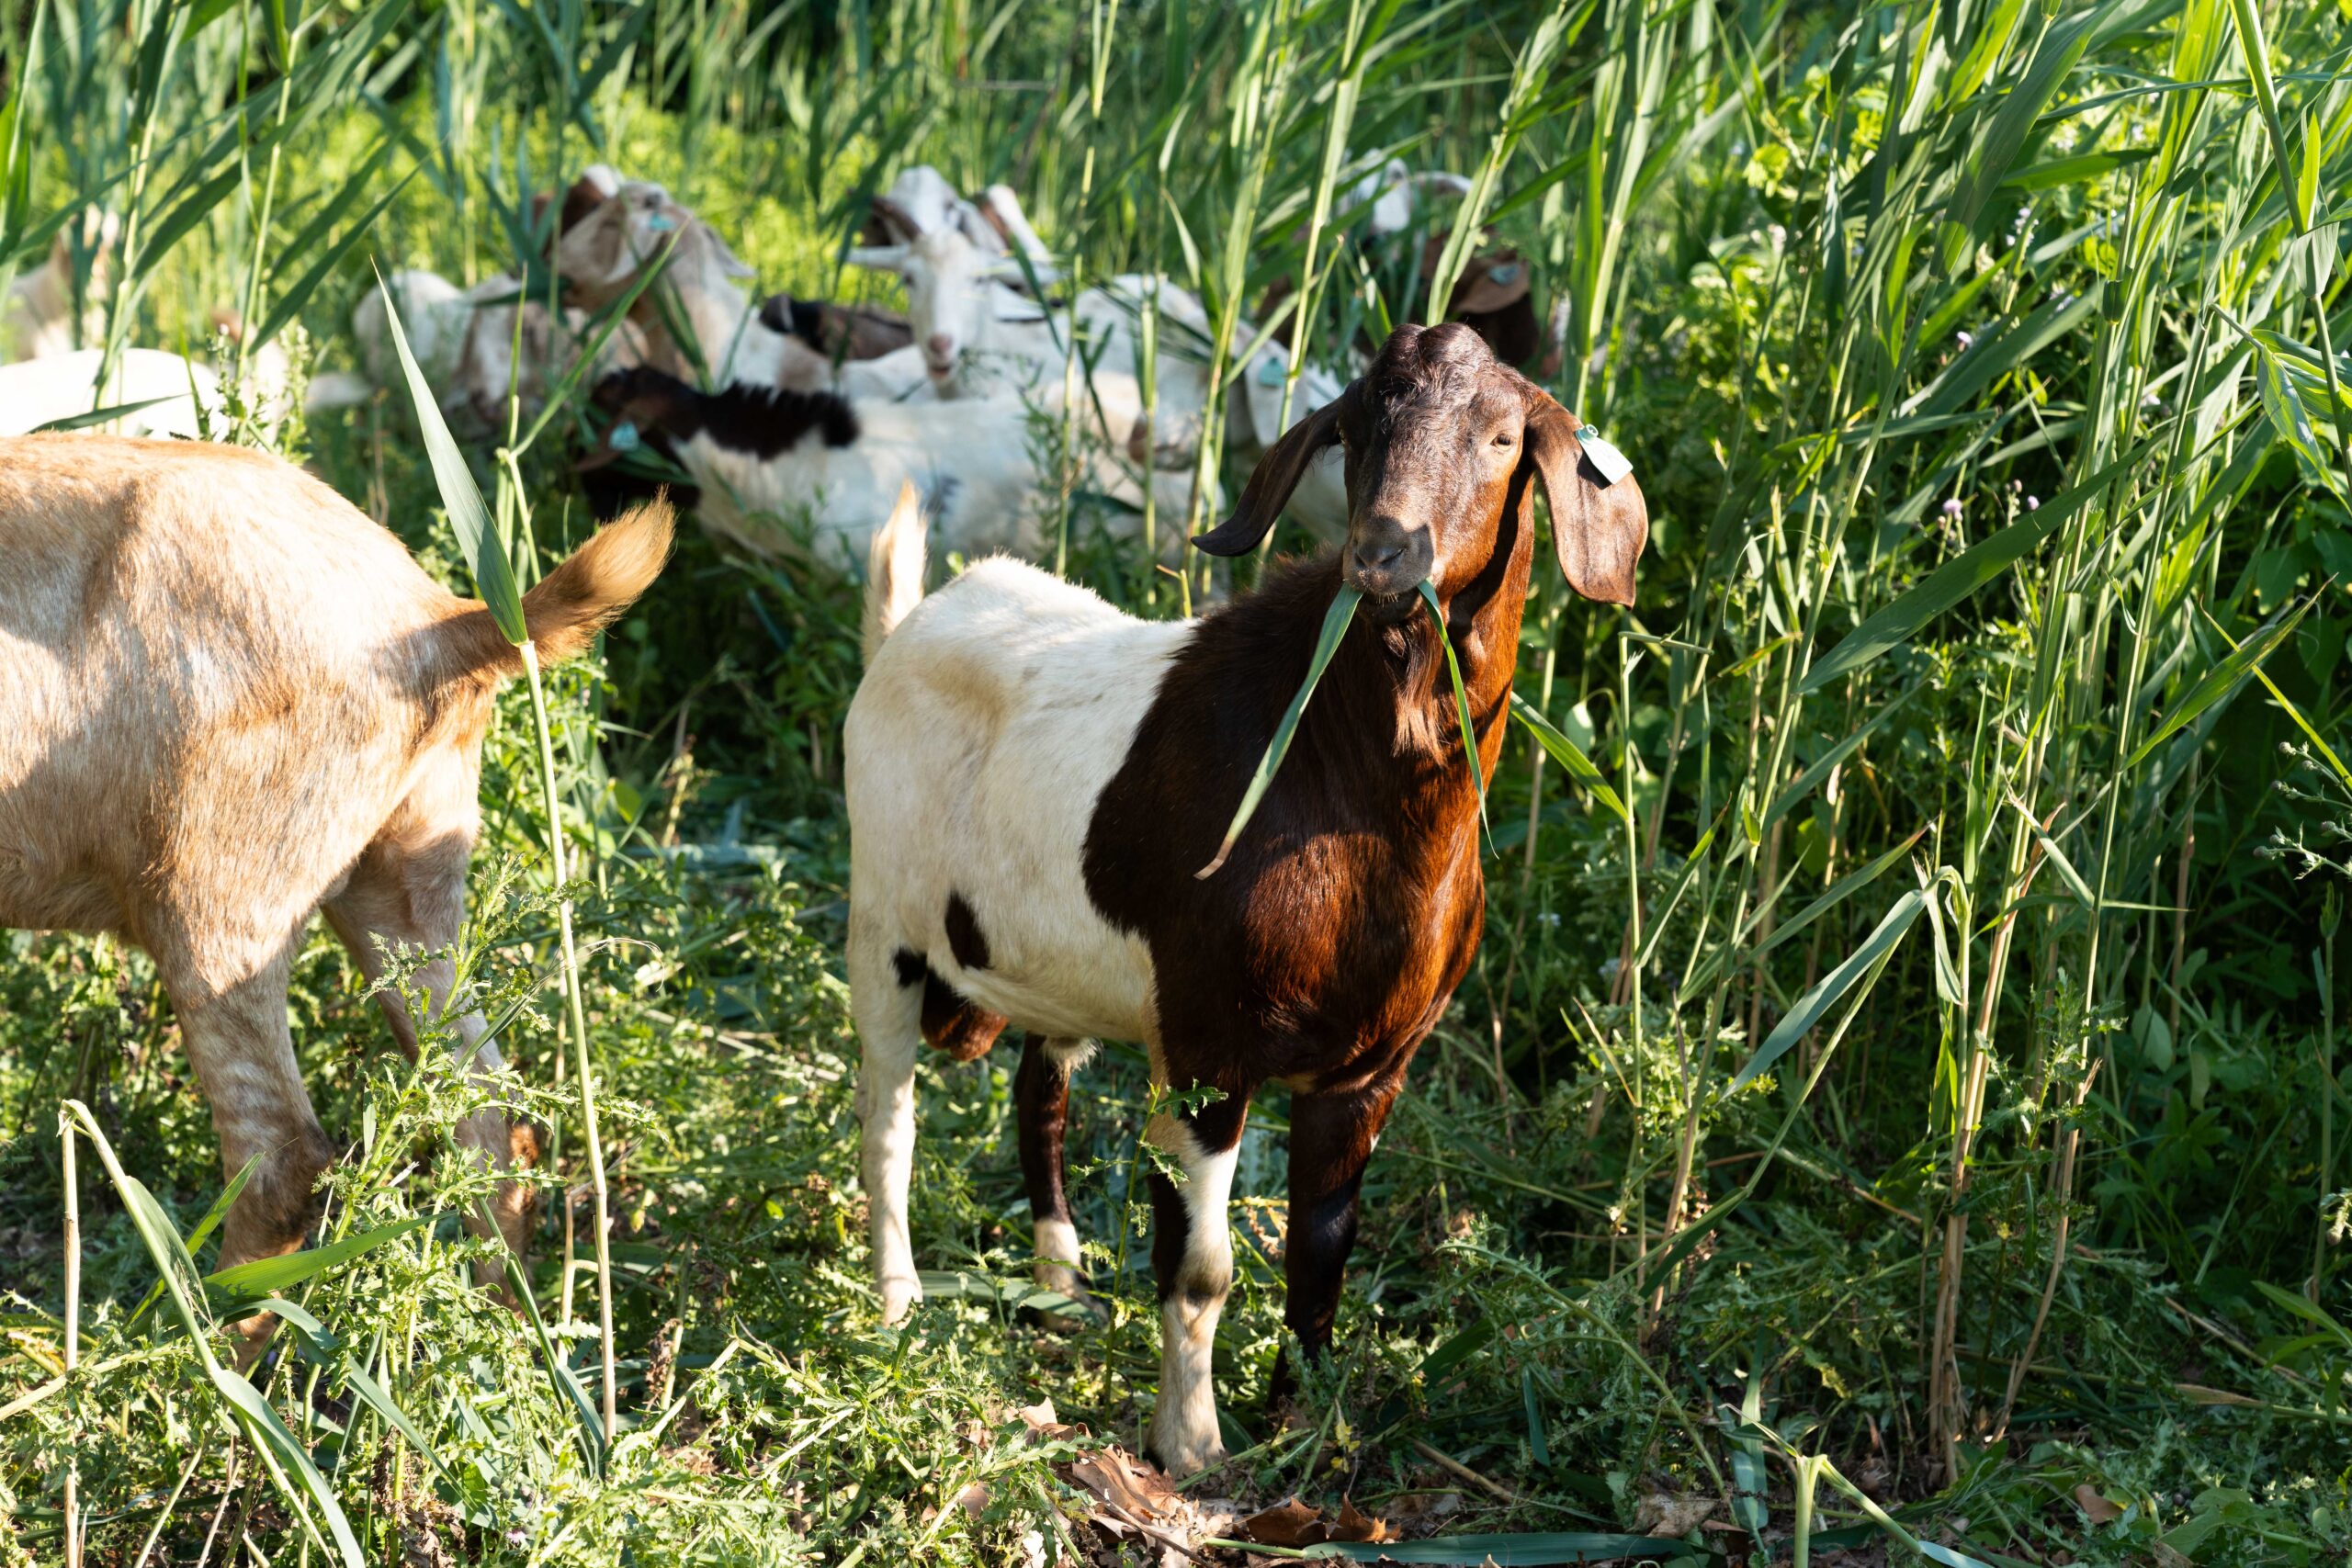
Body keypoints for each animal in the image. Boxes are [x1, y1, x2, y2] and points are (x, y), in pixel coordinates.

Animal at [0, 432, 673, 1354]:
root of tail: (441, 620)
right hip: (405, 880)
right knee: (488, 1112)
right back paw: (492, 1338)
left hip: (217, 894)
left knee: (285, 1154)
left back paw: (188, 1359)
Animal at [851, 321, 1656, 1476]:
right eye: (1354, 424)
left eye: (1504, 436)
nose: (1384, 553)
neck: (1341, 783)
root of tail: (909, 623)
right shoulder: (1206, 1048)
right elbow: (1201, 1266)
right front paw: (1191, 1446)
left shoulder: (1370, 1067)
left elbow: (1324, 1251)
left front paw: (1307, 1424)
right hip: (881, 924)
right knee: (888, 1116)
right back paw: (897, 1302)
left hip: (1060, 972)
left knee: (1038, 1092)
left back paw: (1062, 1289)